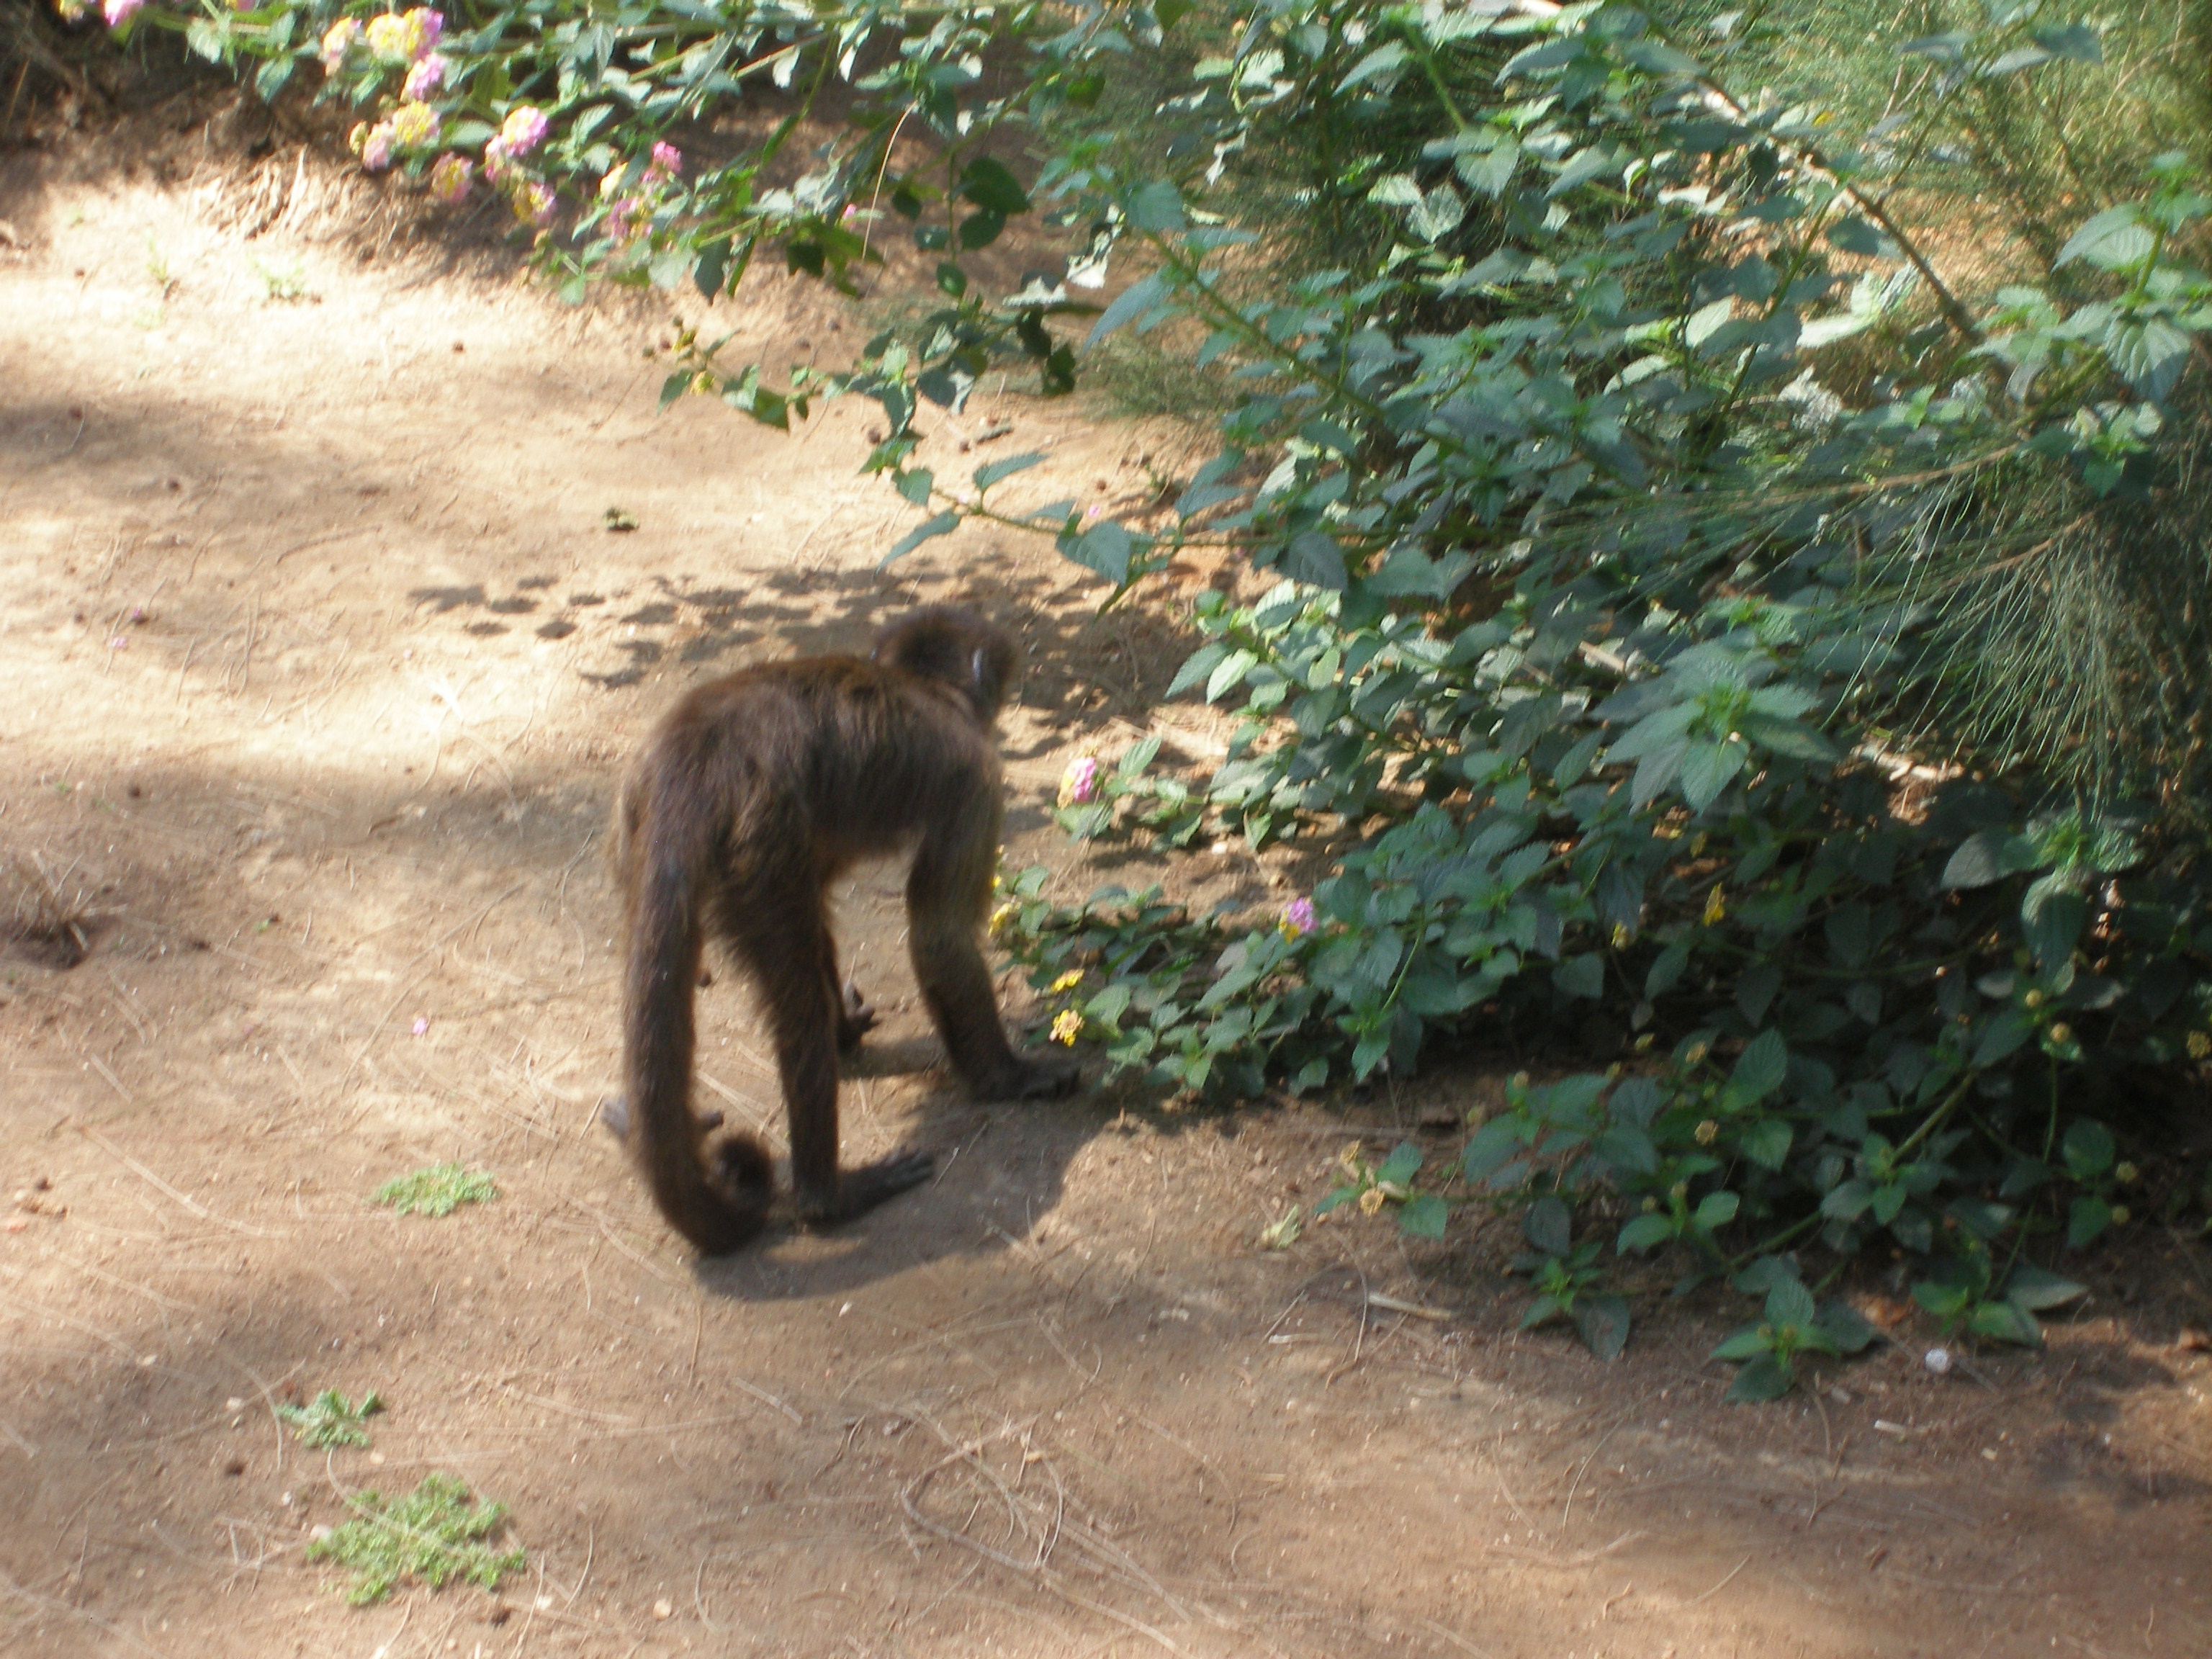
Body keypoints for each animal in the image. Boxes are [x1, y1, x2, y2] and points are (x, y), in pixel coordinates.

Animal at [610, 610, 1084, 1256]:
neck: (926, 689)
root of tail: (699, 751)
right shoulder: (977, 773)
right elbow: (939, 937)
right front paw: (1010, 1079)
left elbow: (822, 896)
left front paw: (849, 1026)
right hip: (756, 849)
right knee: (799, 1001)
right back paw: (828, 1196)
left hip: (640, 818)